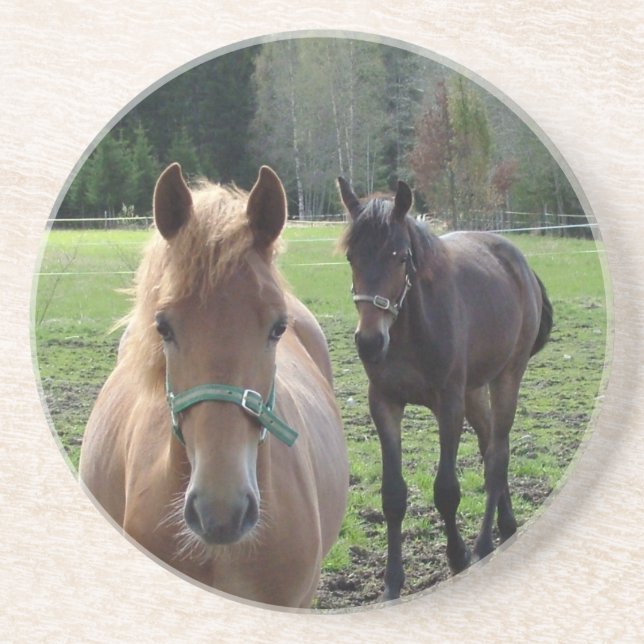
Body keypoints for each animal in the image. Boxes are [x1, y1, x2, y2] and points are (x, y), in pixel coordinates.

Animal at [338, 177, 553, 600]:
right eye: (352, 257)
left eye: (400, 257)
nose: (369, 342)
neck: (410, 330)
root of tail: (520, 263)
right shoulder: (384, 404)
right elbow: (393, 495)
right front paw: (391, 583)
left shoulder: (448, 404)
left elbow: (446, 490)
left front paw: (457, 558)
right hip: (474, 392)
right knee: (490, 447)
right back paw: (507, 526)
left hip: (507, 377)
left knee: (498, 455)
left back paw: (483, 545)